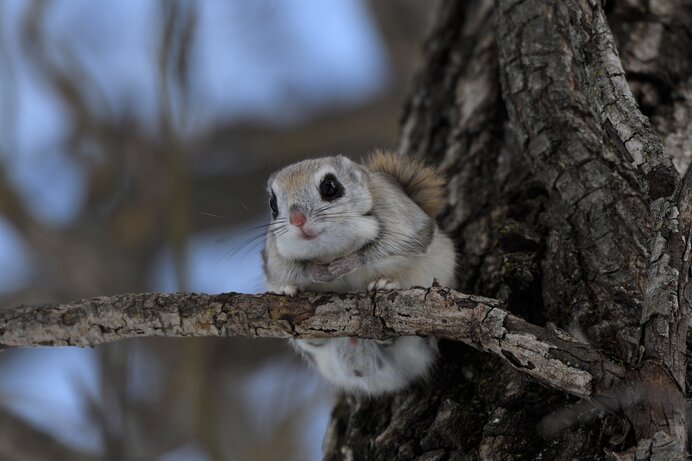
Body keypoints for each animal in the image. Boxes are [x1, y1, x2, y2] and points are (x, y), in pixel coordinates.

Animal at [262, 151, 456, 396]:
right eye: (272, 204)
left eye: (330, 186)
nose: (297, 221)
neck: (331, 251)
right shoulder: (273, 255)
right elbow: (285, 268)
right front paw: (301, 279)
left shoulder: (400, 219)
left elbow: (385, 247)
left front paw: (346, 264)